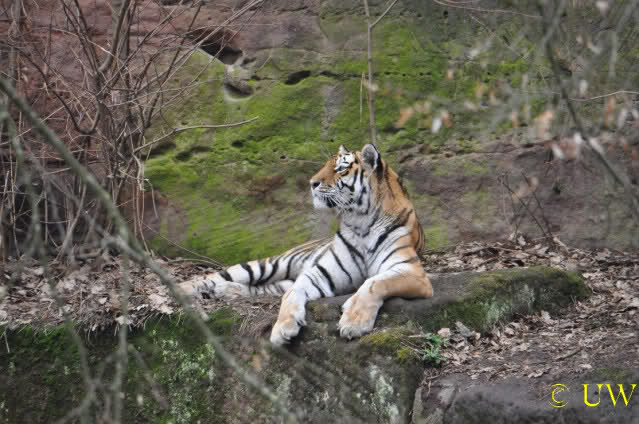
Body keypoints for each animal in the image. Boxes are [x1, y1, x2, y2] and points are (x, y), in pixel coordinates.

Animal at [179, 144, 433, 345]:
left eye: (341, 168)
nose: (312, 183)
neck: (360, 221)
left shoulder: (412, 271)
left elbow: (374, 283)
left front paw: (354, 322)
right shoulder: (319, 273)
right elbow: (292, 293)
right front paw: (283, 328)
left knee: (263, 288)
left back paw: (226, 291)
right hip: (269, 264)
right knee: (213, 277)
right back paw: (182, 289)